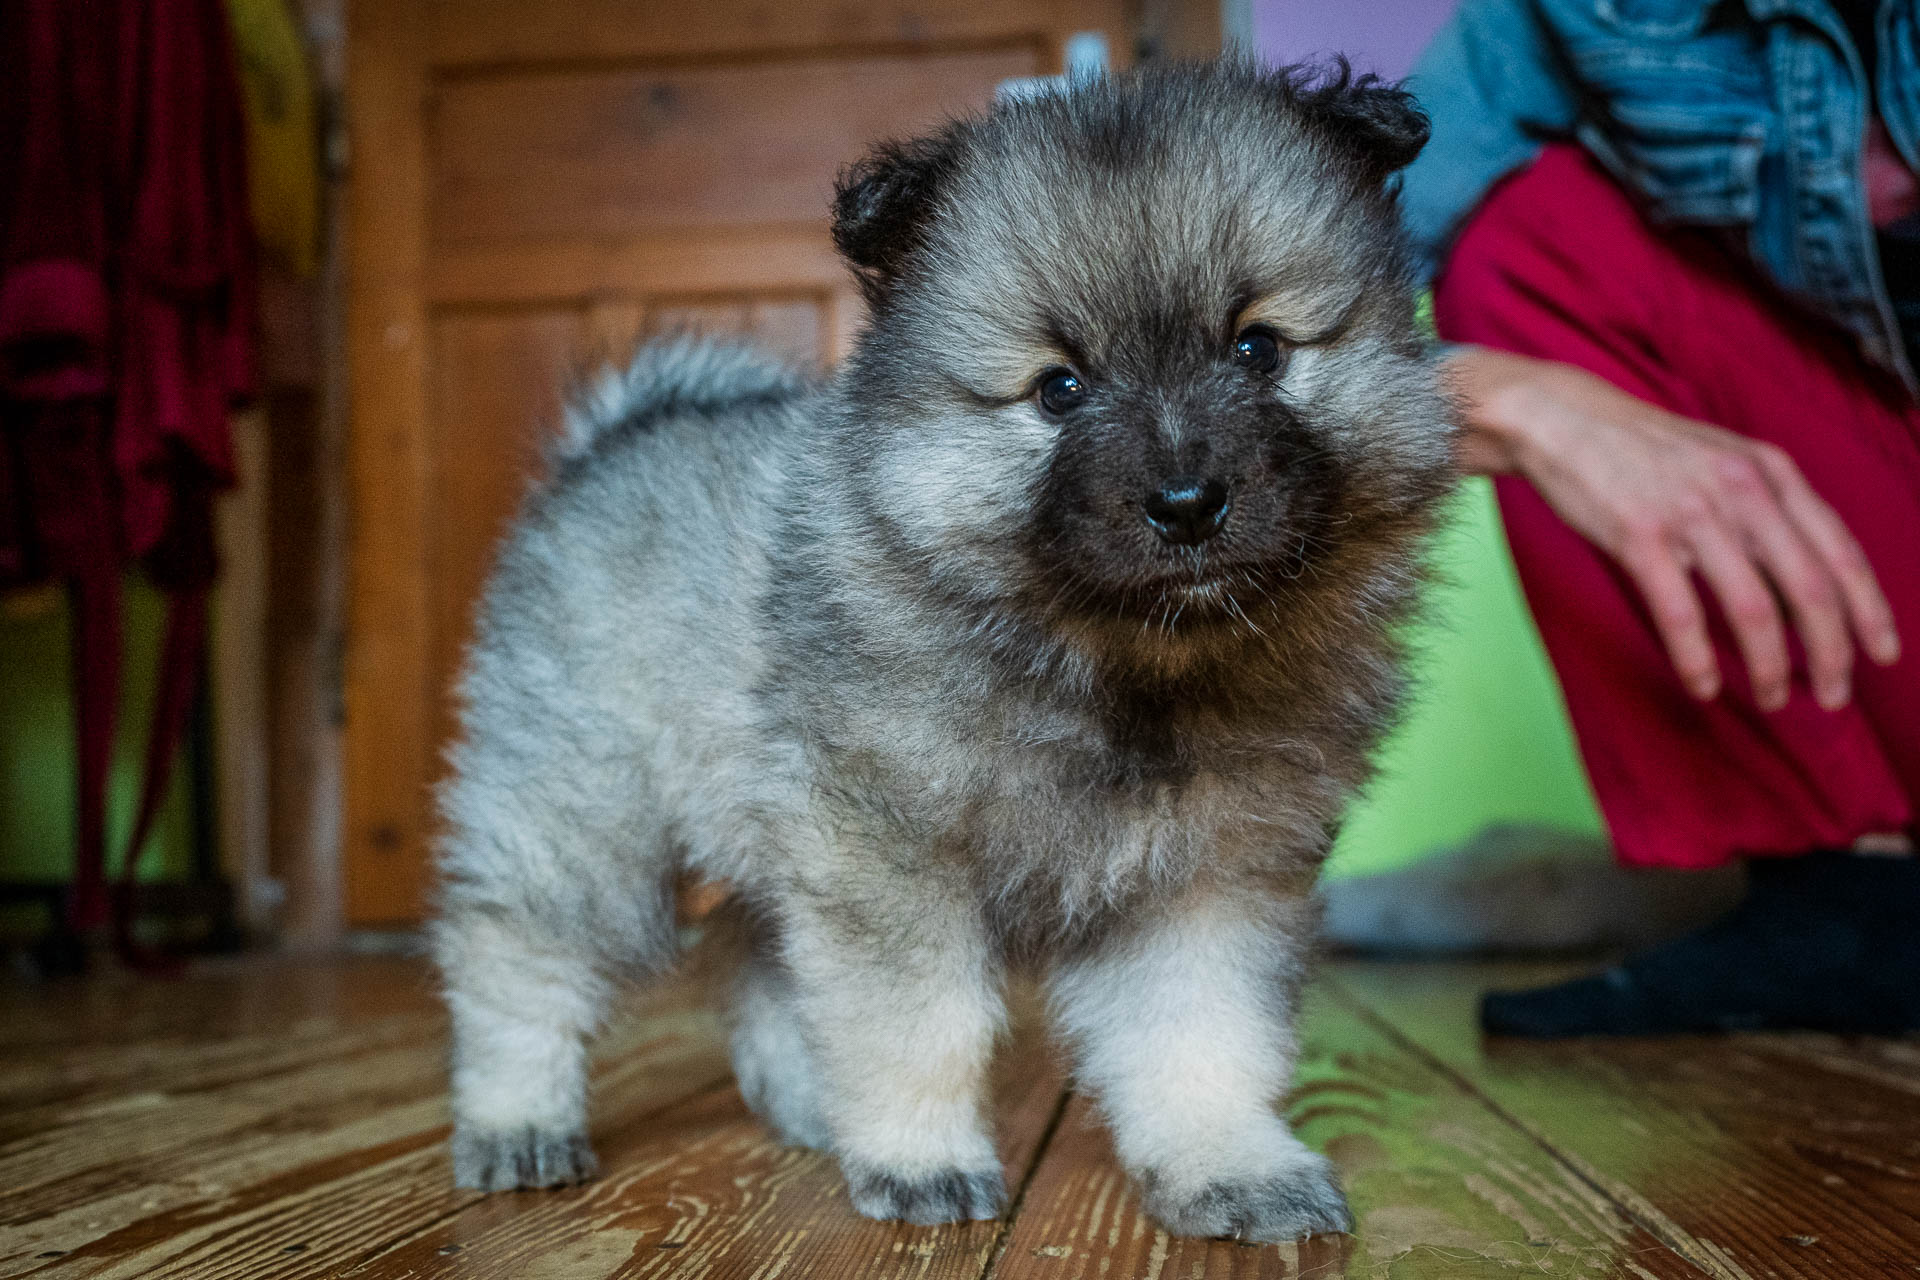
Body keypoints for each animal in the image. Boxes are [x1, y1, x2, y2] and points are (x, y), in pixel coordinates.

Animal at [439, 57, 1451, 1243]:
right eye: (1059, 388)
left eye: (1258, 348)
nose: (1187, 503)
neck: (1117, 664)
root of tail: (612, 440)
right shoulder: (892, 850)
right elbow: (918, 1020)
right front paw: (922, 1155)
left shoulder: (1207, 876)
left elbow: (1204, 1032)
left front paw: (1229, 1165)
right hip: (583, 811)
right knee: (518, 951)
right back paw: (517, 1116)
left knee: (759, 958)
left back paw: (808, 1106)